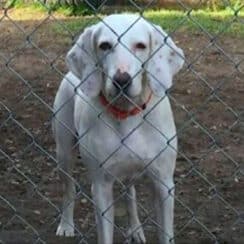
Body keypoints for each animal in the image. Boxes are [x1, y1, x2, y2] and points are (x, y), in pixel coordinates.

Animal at [53, 13, 183, 244]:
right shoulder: (101, 186)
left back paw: (136, 229)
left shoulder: (163, 184)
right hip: (64, 152)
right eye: (104, 45)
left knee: (130, 194)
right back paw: (66, 225)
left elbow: (165, 233)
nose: (121, 80)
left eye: (141, 46)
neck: (127, 114)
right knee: (69, 188)